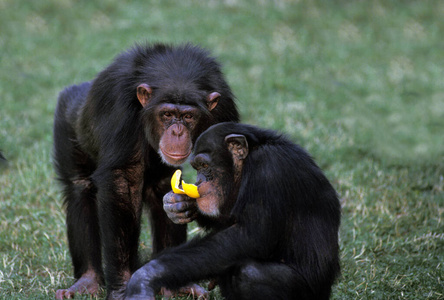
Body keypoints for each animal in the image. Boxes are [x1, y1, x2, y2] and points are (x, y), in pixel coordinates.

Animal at [52, 42, 239, 300]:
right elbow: (123, 180)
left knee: (161, 186)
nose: (177, 132)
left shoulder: (224, 108)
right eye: (167, 114)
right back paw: (87, 281)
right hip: (68, 121)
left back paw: (174, 284)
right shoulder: (119, 104)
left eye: (188, 116)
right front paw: (122, 287)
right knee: (79, 189)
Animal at [126, 122, 342, 300]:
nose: (198, 181)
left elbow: (248, 236)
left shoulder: (268, 169)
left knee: (249, 274)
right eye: (196, 167)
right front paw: (177, 204)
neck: (247, 161)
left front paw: (146, 276)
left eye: (204, 165)